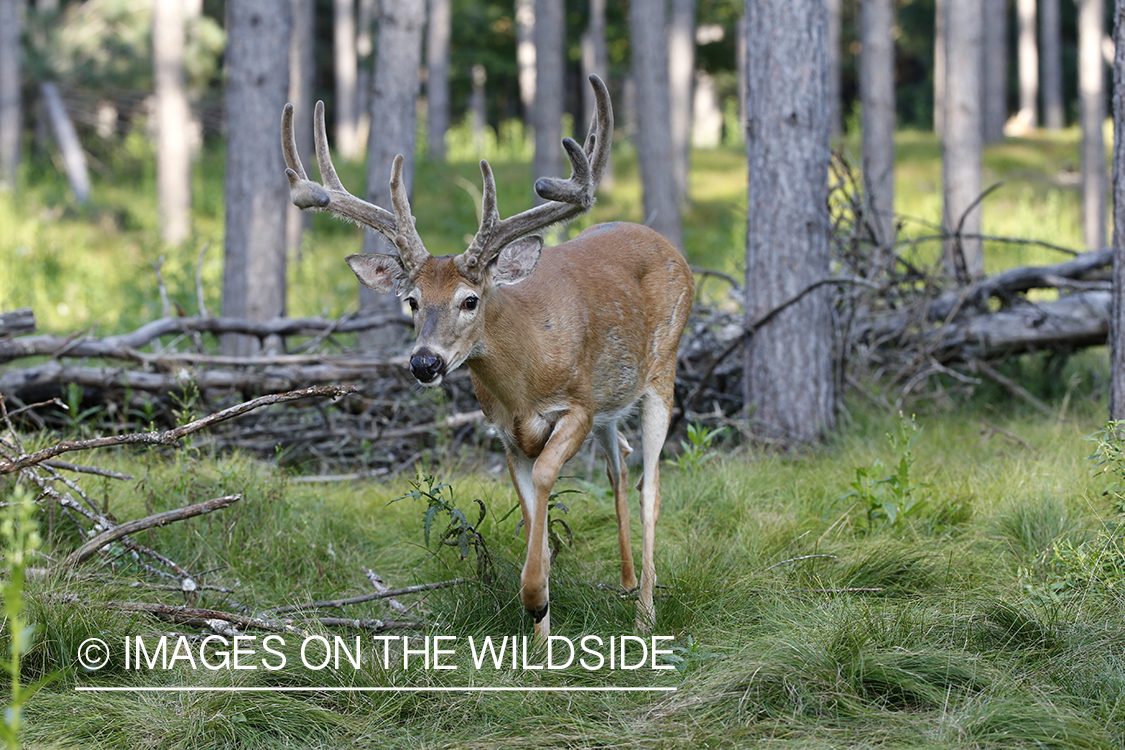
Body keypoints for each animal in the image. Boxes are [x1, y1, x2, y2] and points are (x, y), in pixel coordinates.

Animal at [281, 74, 693, 638]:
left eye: (470, 299)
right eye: (412, 301)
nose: (425, 363)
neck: (523, 382)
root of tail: (667, 244)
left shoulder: (579, 405)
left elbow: (545, 479)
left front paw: (535, 596)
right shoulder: (505, 431)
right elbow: (529, 510)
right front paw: (540, 634)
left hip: (662, 372)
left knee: (652, 485)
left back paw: (647, 614)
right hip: (614, 400)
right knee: (620, 465)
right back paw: (628, 584)